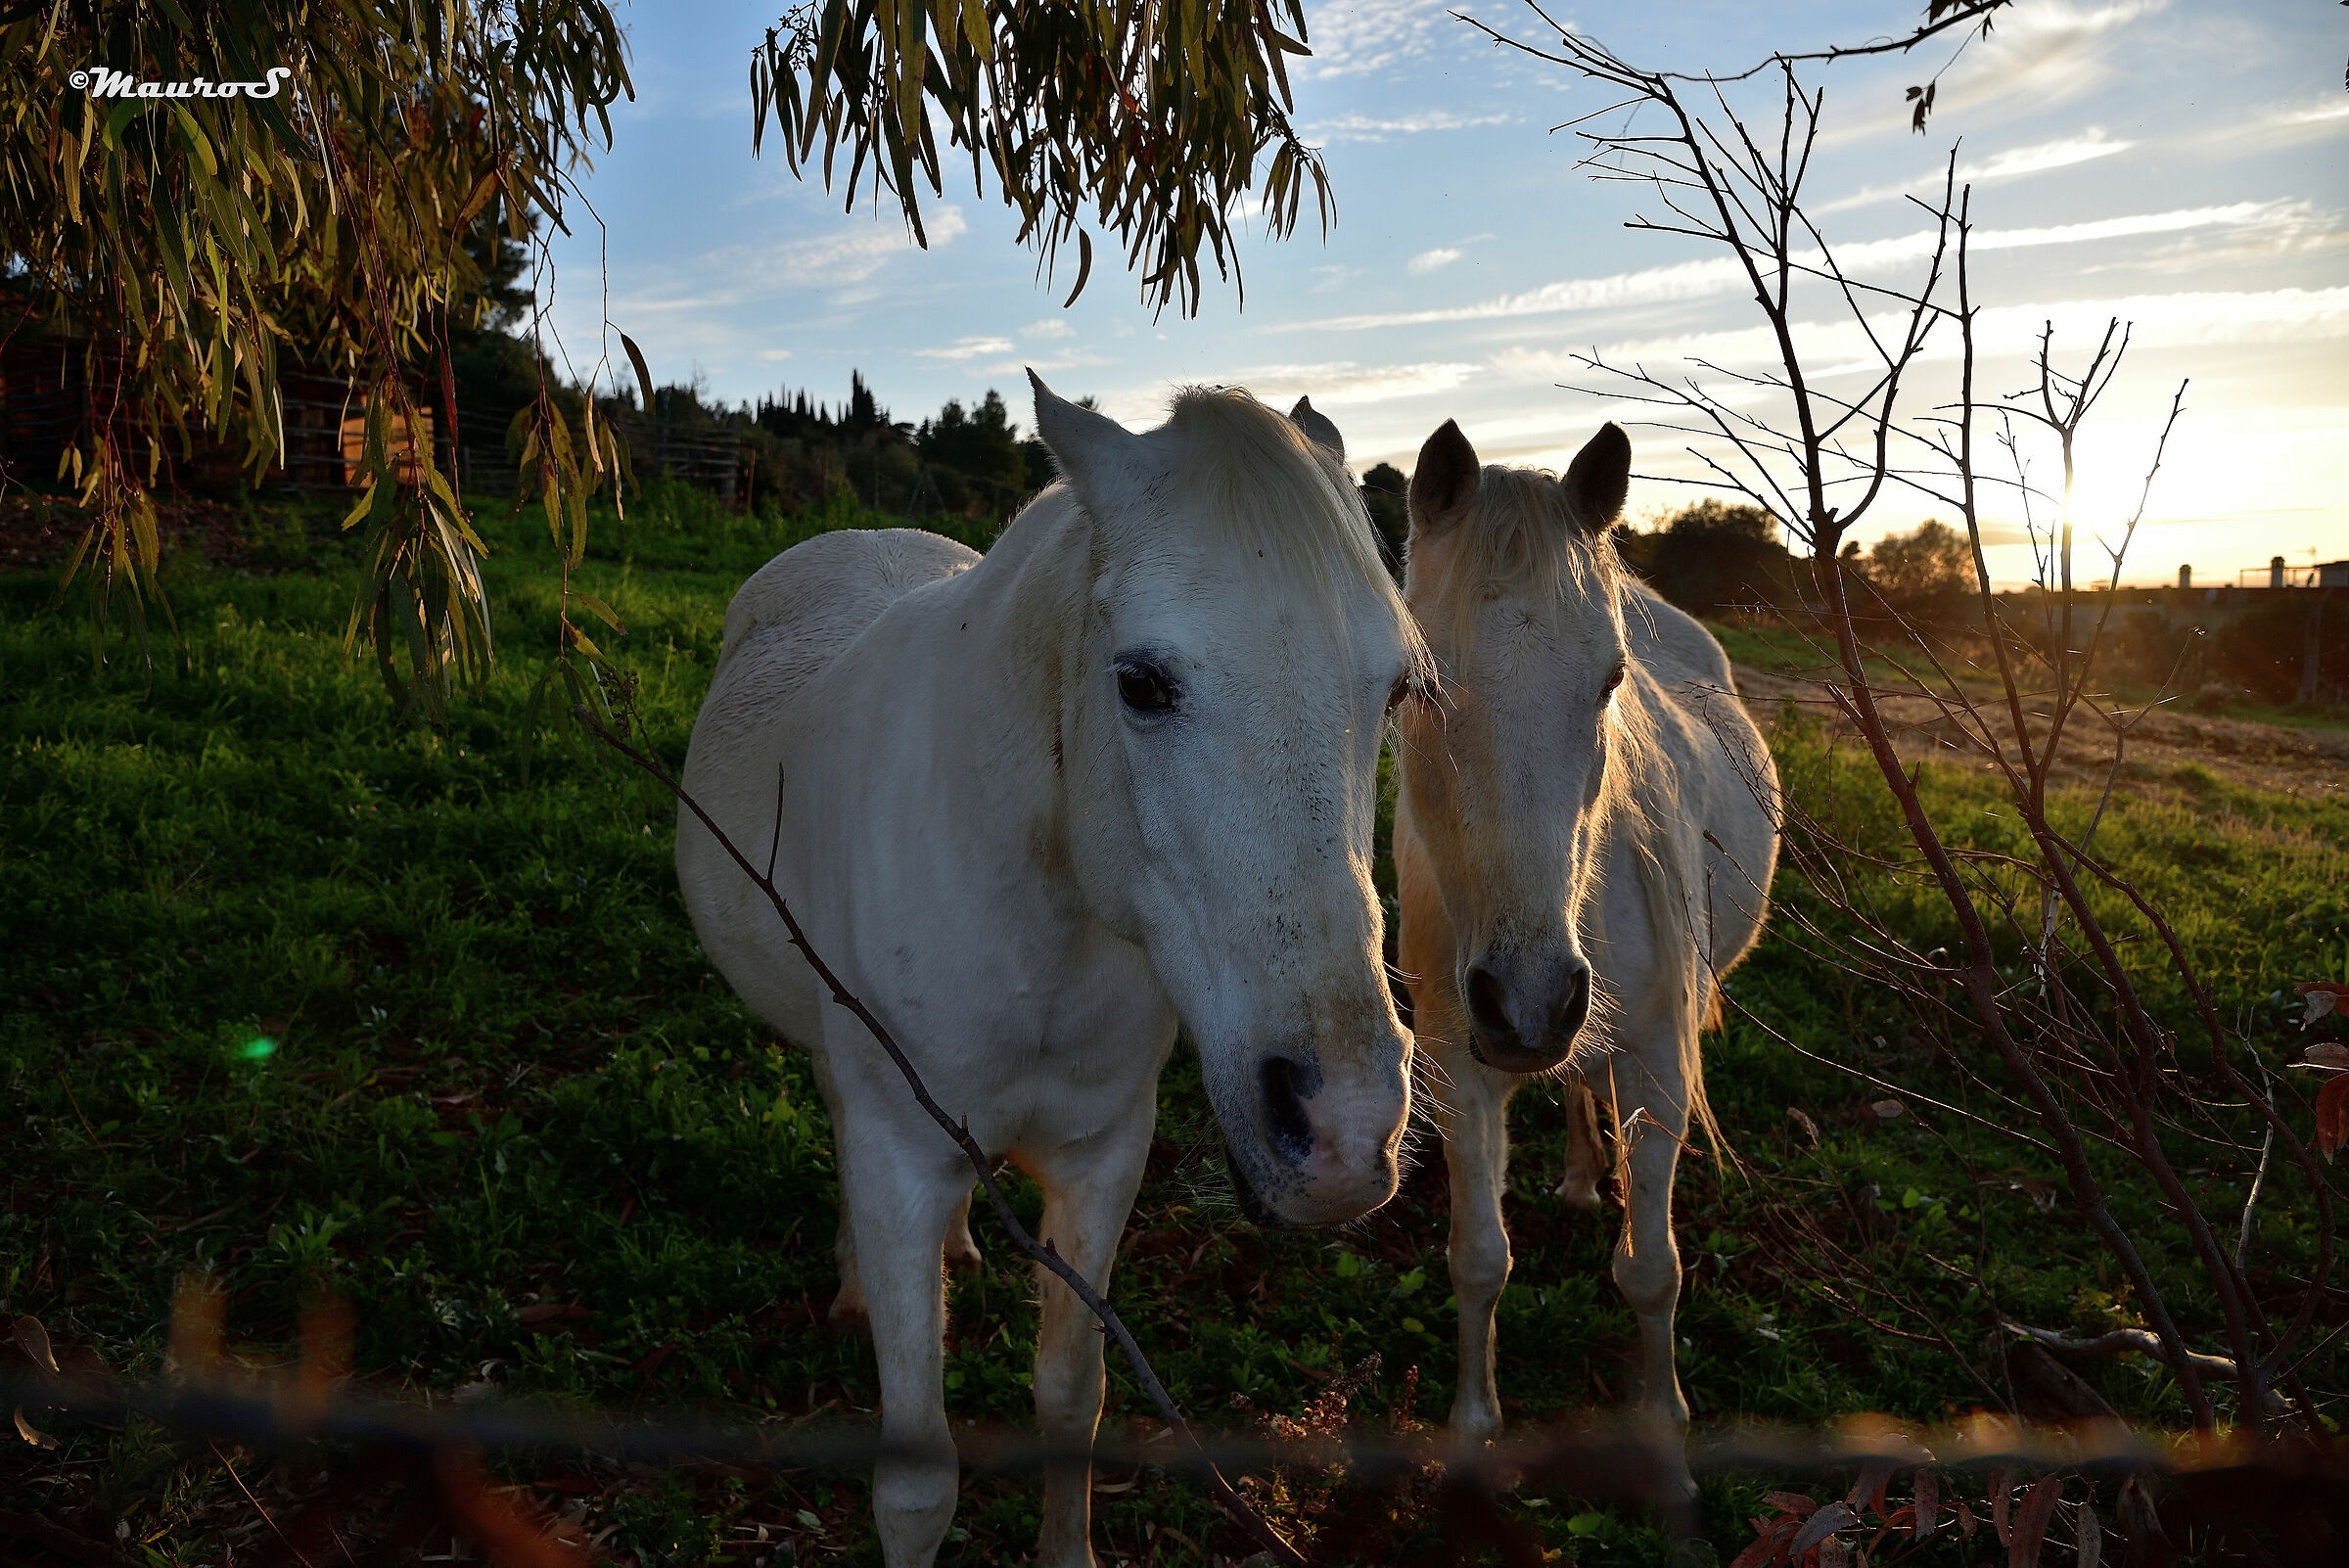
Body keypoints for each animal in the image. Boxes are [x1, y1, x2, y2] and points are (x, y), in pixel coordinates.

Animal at [675, 376, 1422, 1568]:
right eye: (1142, 683)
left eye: (1395, 689)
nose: (1346, 1132)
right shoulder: (899, 1161)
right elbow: (917, 1481)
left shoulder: (1100, 1158)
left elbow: (1073, 1399)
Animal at [1386, 417, 1779, 1444]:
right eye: (1416, 688)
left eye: (1611, 681)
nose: (1528, 1005)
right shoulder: (1458, 1065)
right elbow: (1478, 1260)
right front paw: (1474, 1422)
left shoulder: (1659, 1065)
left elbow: (1650, 1270)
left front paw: (1661, 1415)